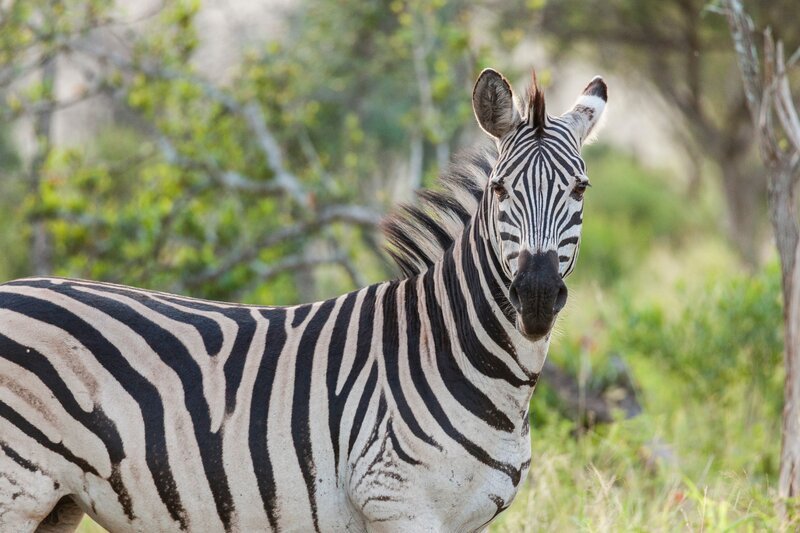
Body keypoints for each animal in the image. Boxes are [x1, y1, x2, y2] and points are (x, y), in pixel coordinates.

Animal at [0, 68, 606, 532]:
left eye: (581, 189)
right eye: (501, 190)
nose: (535, 296)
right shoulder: (396, 502)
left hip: (58, 503)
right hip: (18, 488)